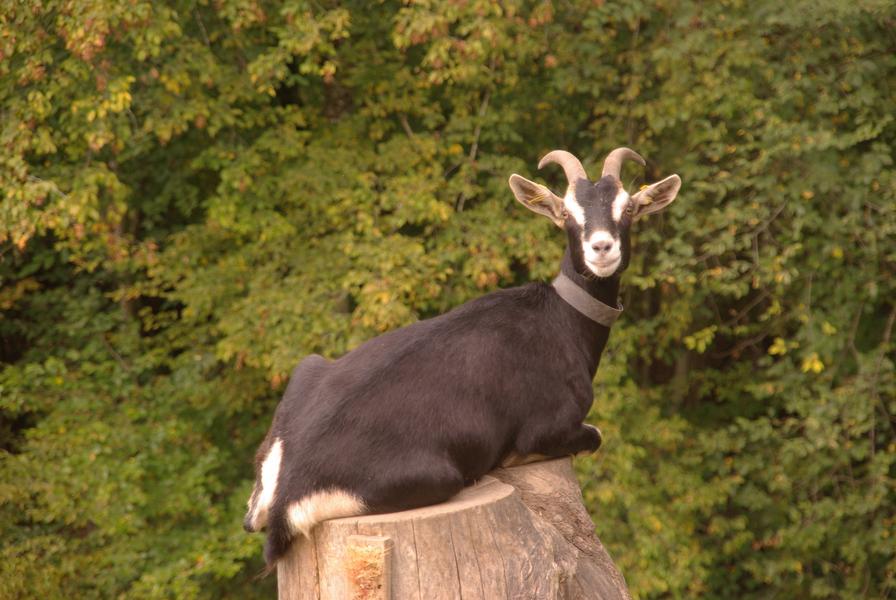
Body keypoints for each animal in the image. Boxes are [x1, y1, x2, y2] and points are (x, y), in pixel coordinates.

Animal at [244, 148, 682, 569]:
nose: (602, 248)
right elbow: (592, 435)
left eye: (628, 208)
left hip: (309, 367)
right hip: (439, 476)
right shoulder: (547, 428)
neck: (560, 320)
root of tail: (287, 491)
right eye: (566, 215)